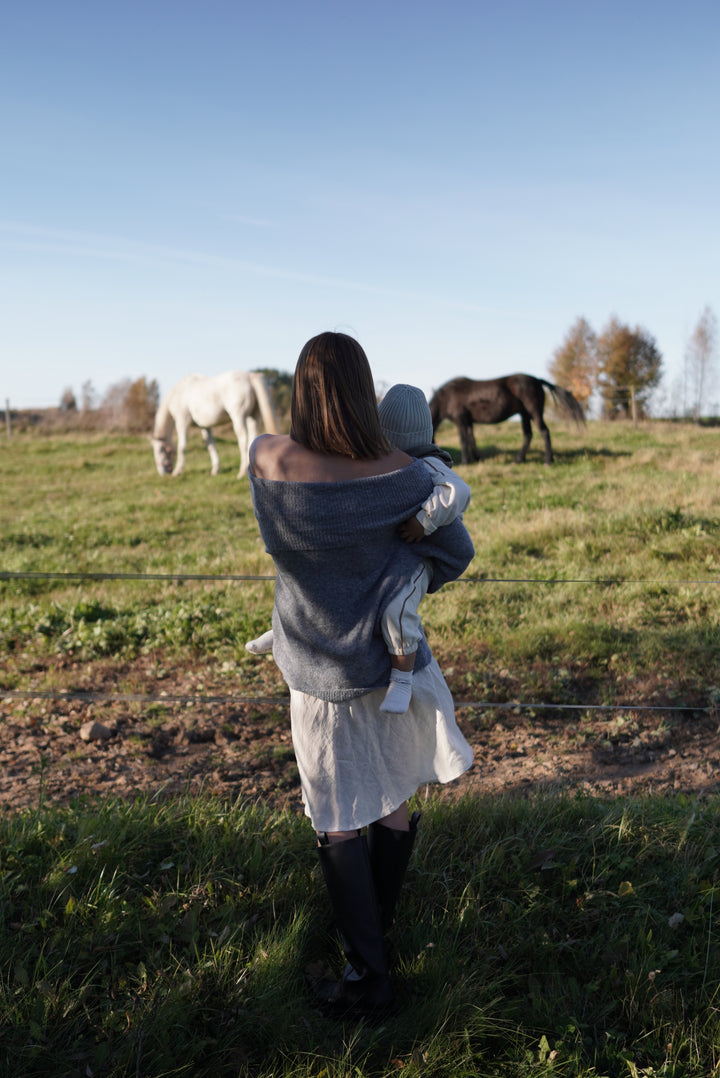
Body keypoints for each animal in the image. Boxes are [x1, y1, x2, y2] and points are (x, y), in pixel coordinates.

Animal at [426, 375, 586, 463]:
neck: (447, 397)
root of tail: (537, 380)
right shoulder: (469, 422)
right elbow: (472, 439)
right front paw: (476, 458)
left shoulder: (461, 421)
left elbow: (463, 440)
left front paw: (466, 461)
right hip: (524, 415)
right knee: (528, 435)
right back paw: (519, 460)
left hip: (534, 413)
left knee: (544, 432)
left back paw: (548, 460)